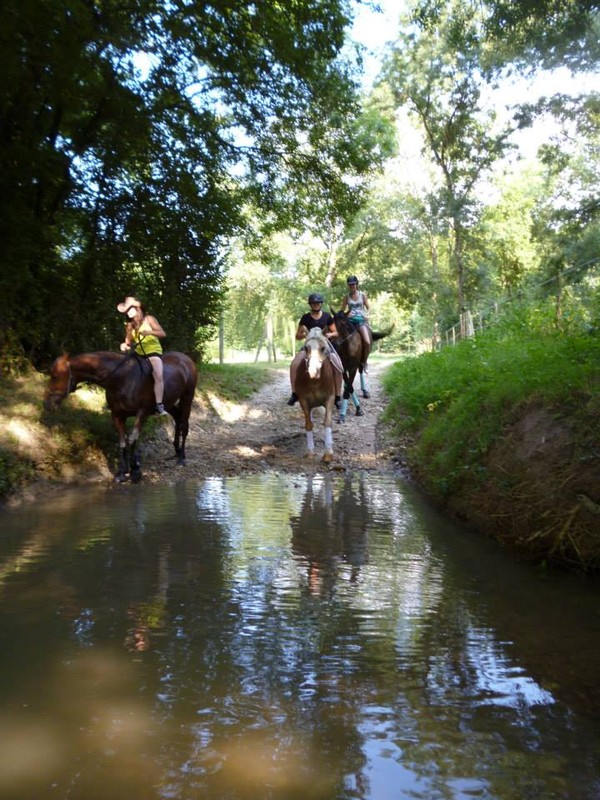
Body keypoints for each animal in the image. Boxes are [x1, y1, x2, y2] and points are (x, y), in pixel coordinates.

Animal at [45, 350, 199, 482]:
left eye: (55, 375)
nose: (47, 403)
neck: (121, 378)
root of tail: (185, 358)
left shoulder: (142, 413)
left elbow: (132, 439)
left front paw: (135, 471)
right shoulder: (117, 415)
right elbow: (123, 442)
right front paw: (122, 472)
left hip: (187, 397)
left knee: (184, 424)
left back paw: (182, 457)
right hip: (169, 402)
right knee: (178, 417)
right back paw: (176, 451)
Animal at [294, 326, 338, 462]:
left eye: (323, 348)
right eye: (306, 347)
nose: (313, 371)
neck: (315, 381)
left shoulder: (330, 399)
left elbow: (327, 422)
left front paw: (328, 453)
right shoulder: (304, 401)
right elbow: (308, 424)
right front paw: (310, 452)